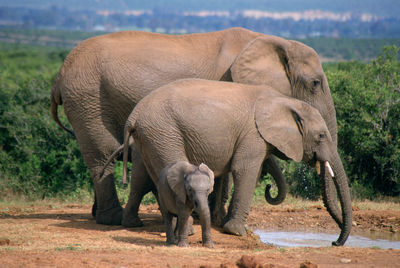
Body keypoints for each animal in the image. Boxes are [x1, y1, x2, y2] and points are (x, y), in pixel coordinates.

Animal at [50, 26, 340, 228]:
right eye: (315, 83)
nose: (337, 241)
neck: (273, 42)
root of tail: (58, 77)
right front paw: (216, 220)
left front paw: (214, 218)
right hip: (88, 99)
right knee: (102, 155)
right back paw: (112, 219)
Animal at [107, 78, 354, 246]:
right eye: (321, 136)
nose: (334, 242)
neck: (285, 101)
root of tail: (133, 116)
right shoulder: (253, 134)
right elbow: (245, 170)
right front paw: (236, 232)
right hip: (163, 133)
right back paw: (188, 232)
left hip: (150, 139)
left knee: (153, 176)